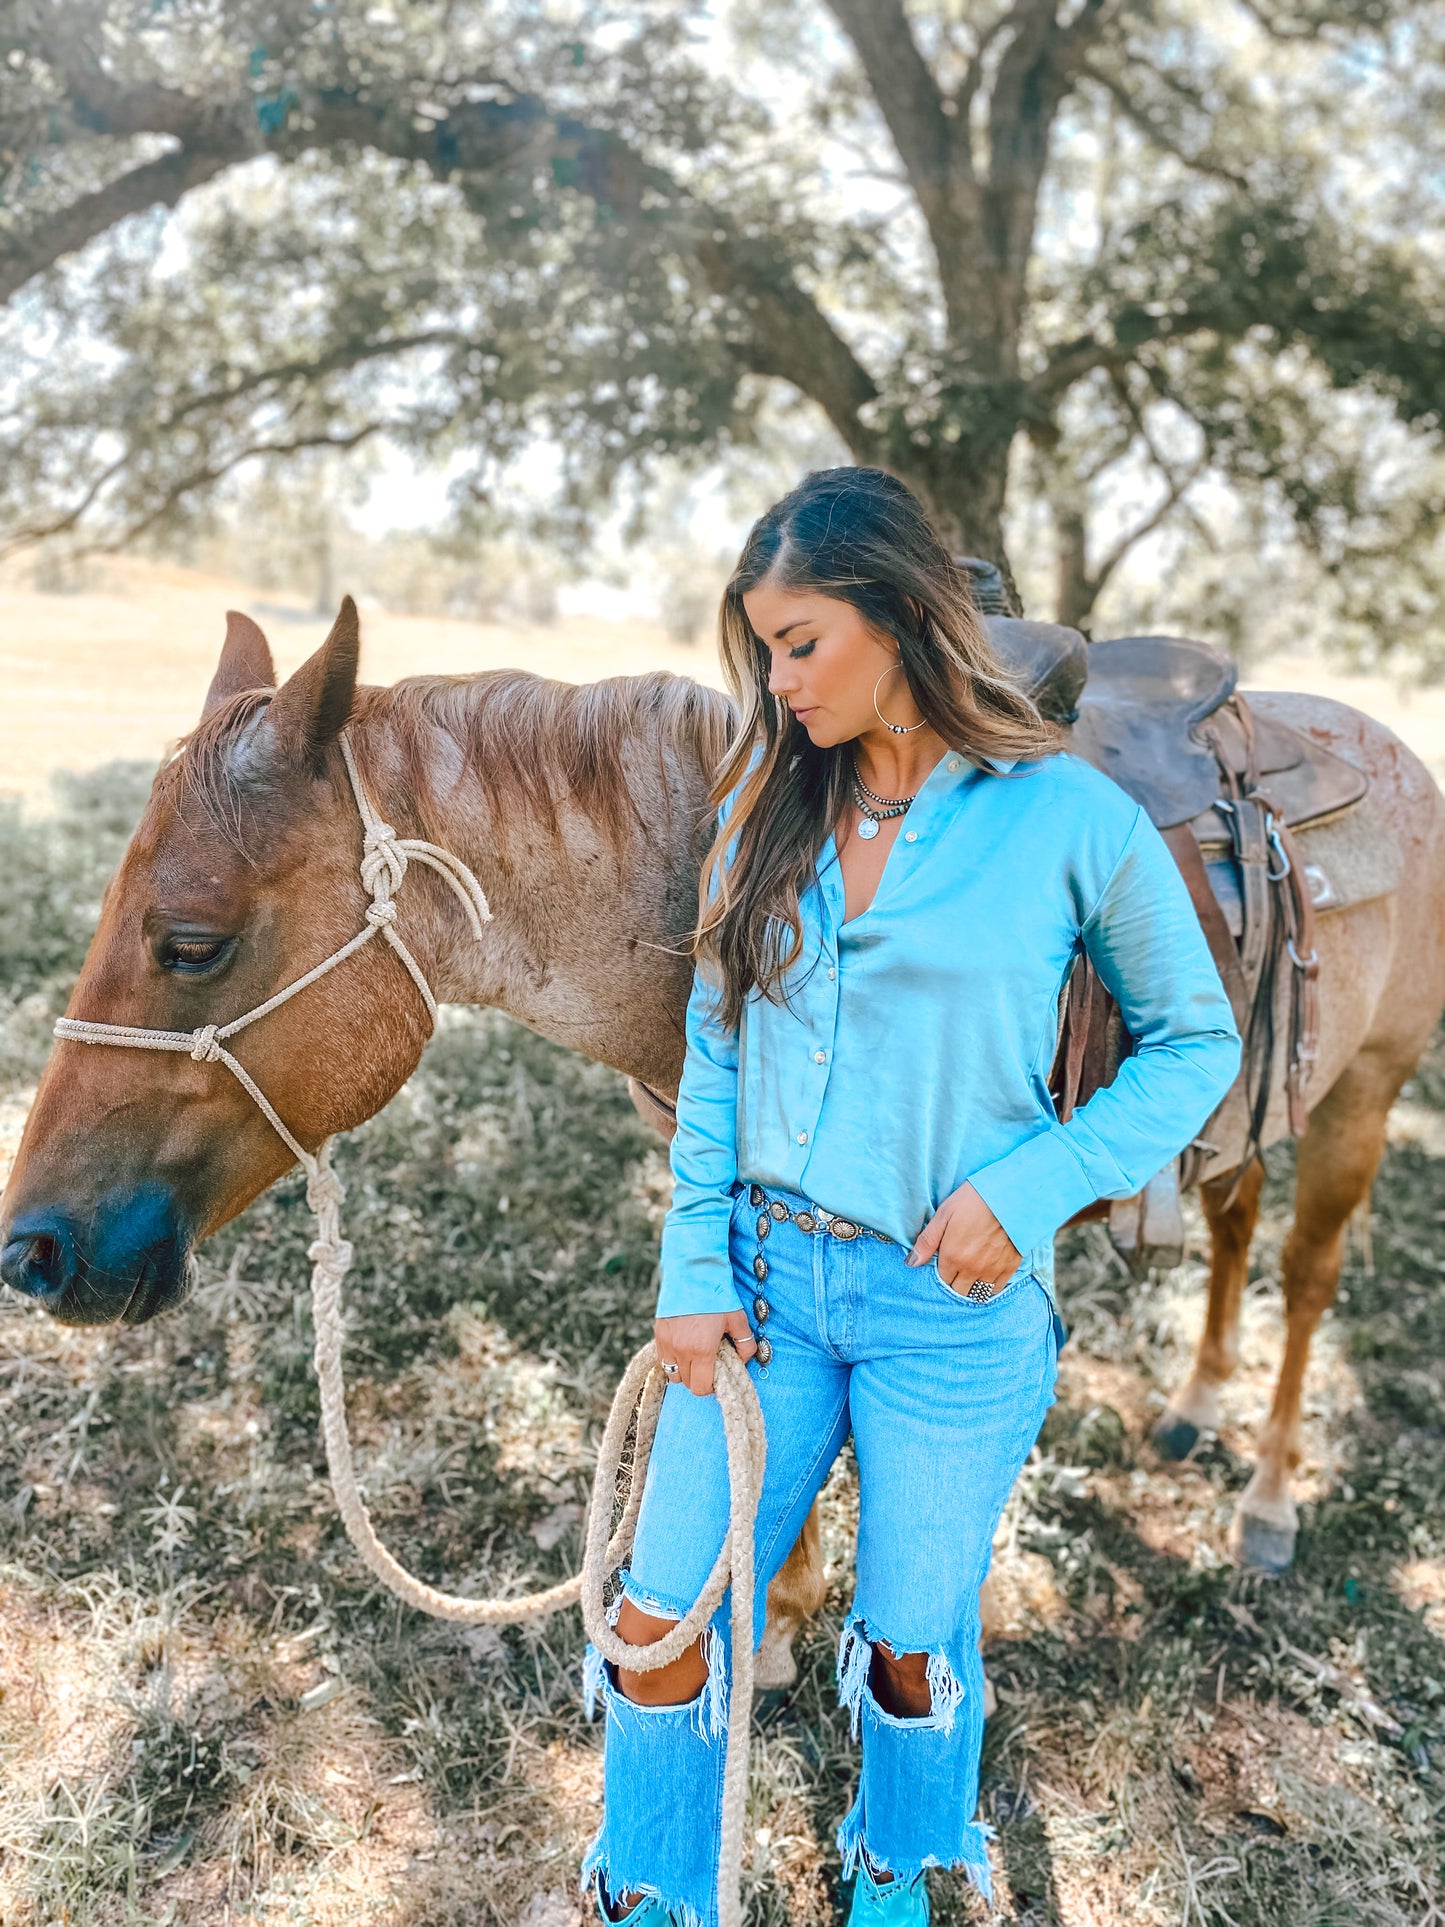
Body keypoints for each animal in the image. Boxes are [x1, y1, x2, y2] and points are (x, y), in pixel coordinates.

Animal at [0, 605, 1441, 1657]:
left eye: (192, 941)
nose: (32, 1250)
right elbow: (746, 1360)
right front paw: (780, 1604)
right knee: (1235, 1220)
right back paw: (1191, 1406)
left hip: (1361, 1090)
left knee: (1307, 1272)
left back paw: (1266, 1499)